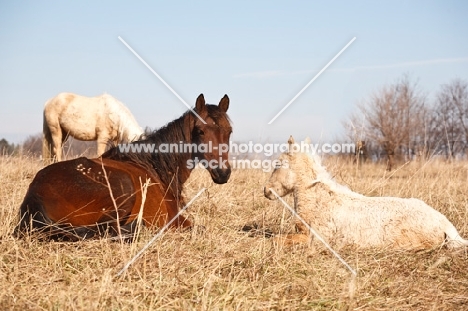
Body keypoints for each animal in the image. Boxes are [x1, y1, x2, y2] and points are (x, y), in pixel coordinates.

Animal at [16, 94, 232, 241]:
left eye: (229, 131)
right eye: (200, 131)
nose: (223, 173)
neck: (155, 166)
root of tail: (36, 195)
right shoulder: (176, 221)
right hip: (123, 189)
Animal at [264, 136, 468, 251]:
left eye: (278, 164)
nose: (266, 191)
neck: (319, 200)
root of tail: (447, 226)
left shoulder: (316, 239)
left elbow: (277, 240)